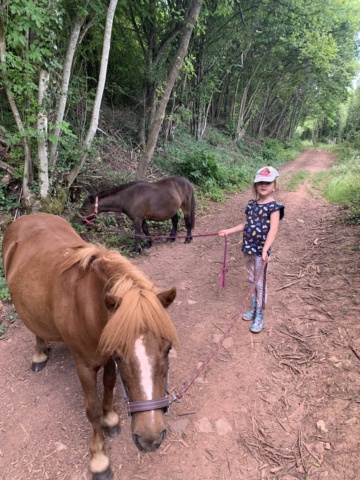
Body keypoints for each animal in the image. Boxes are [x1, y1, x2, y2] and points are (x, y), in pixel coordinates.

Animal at [2, 214, 178, 480]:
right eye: (121, 354)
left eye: (167, 349)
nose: (150, 439)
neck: (89, 308)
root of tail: (27, 218)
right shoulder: (86, 367)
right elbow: (92, 409)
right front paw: (99, 459)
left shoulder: (107, 358)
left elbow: (109, 385)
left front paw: (111, 419)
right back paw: (40, 353)